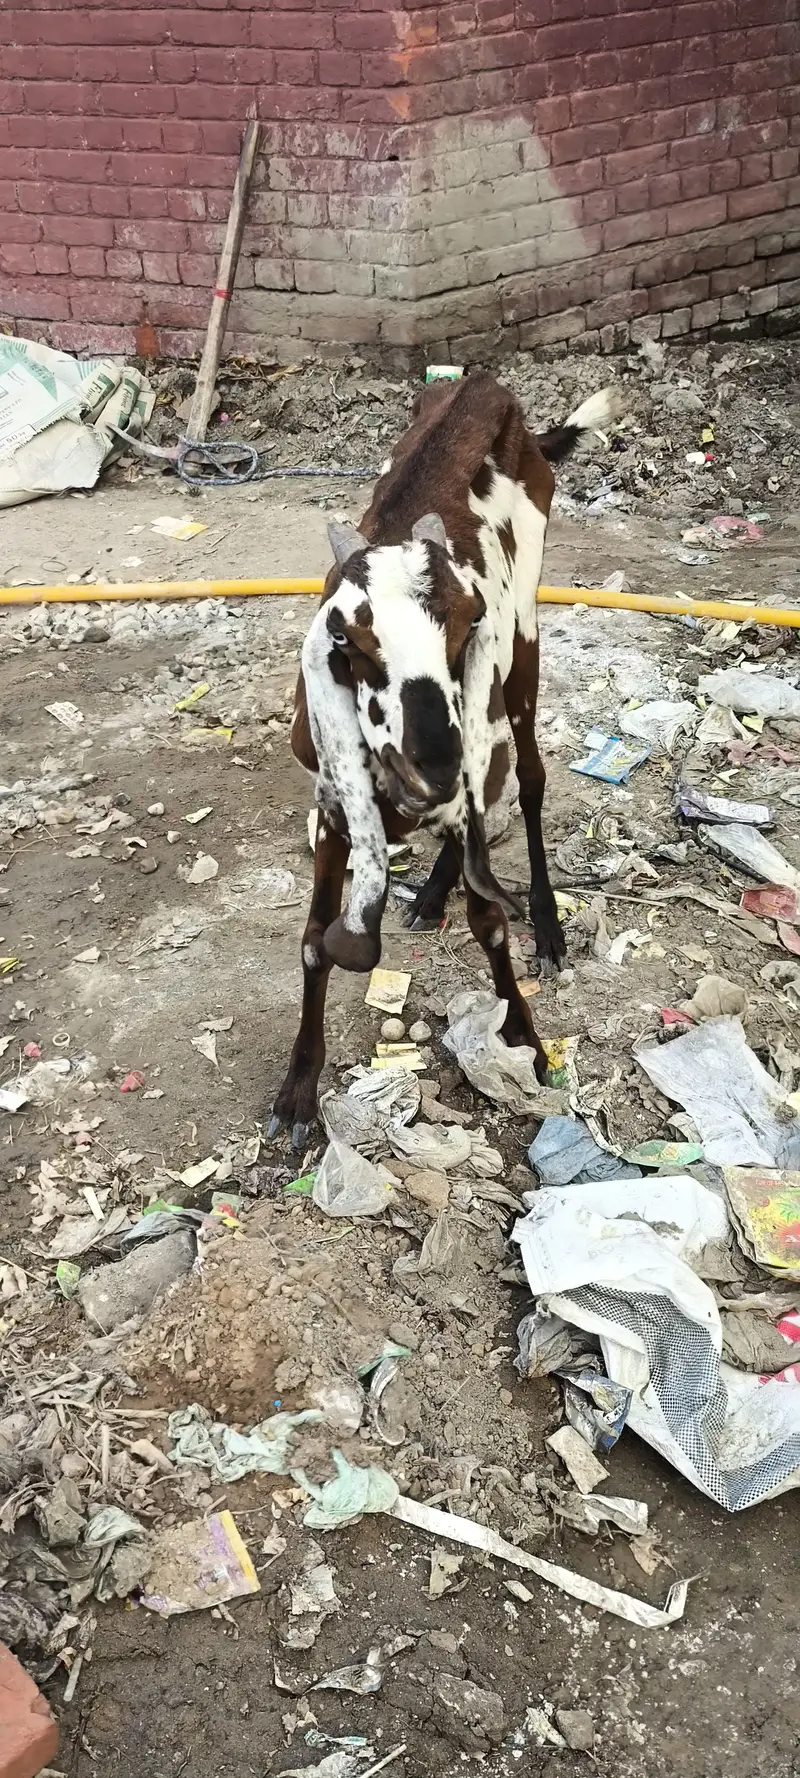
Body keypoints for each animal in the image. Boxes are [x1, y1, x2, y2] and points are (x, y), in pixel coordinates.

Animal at [269, 370, 615, 1147]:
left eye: (466, 624)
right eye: (347, 641)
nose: (431, 764)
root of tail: (488, 389)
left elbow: (490, 920)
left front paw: (526, 1038)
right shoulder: (334, 808)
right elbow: (312, 939)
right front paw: (298, 1089)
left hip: (524, 646)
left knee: (530, 780)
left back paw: (545, 921)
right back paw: (431, 893)